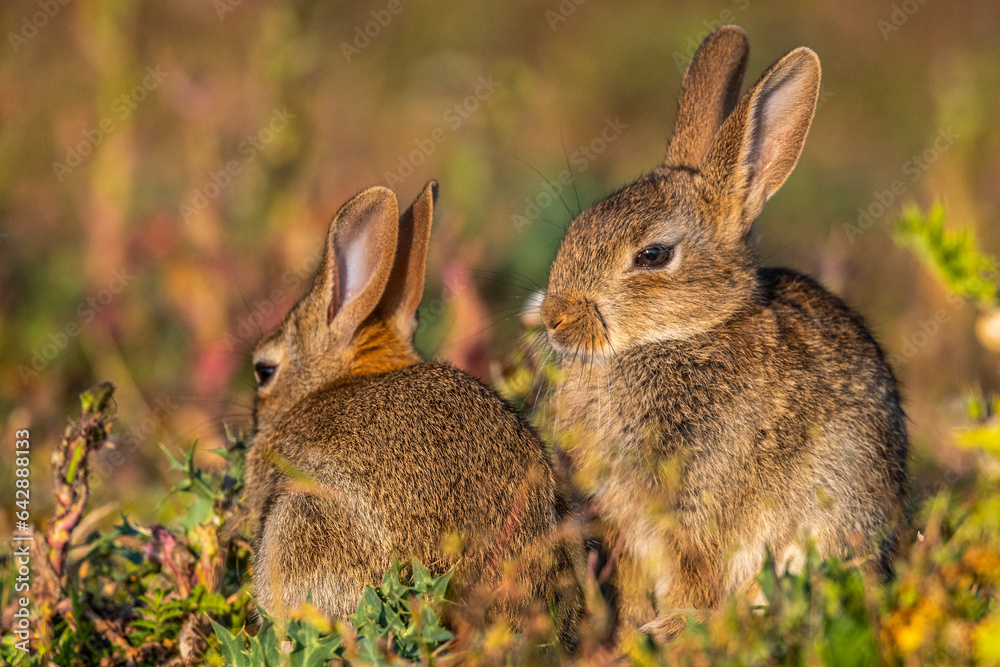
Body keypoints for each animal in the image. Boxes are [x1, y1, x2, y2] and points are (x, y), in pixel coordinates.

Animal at [538, 25, 908, 644]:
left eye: (653, 255)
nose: (554, 317)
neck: (683, 335)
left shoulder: (700, 510)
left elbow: (697, 573)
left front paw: (672, 628)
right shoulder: (622, 521)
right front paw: (633, 633)